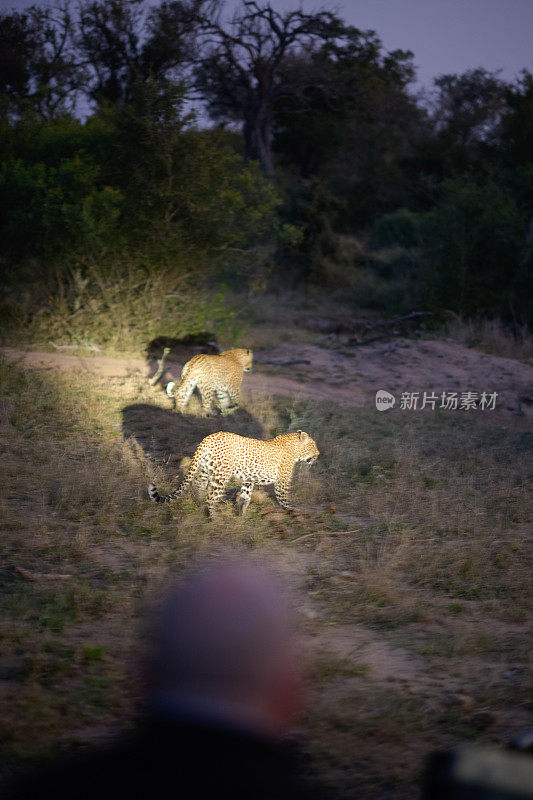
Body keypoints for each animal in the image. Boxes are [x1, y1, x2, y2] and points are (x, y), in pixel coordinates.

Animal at [148, 432, 318, 520]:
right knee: (211, 496)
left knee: (197, 486)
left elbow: (245, 497)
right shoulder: (282, 481)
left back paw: (199, 506)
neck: (295, 449)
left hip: (204, 469)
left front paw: (241, 515)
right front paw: (293, 510)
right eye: (313, 446)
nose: (318, 455)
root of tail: (208, 438)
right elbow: (284, 498)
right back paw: (214, 519)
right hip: (221, 475)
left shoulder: (249, 479)